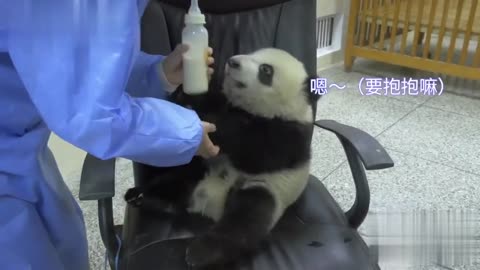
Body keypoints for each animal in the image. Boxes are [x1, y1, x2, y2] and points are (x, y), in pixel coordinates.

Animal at [124, 48, 318, 268]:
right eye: (252, 53)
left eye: (266, 70)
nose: (232, 62)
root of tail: (206, 206)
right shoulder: (228, 104)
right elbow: (211, 103)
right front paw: (186, 90)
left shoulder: (290, 137)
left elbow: (254, 152)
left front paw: (209, 125)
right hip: (199, 171)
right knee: (173, 183)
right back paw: (142, 196)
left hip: (266, 190)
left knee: (245, 221)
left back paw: (199, 253)